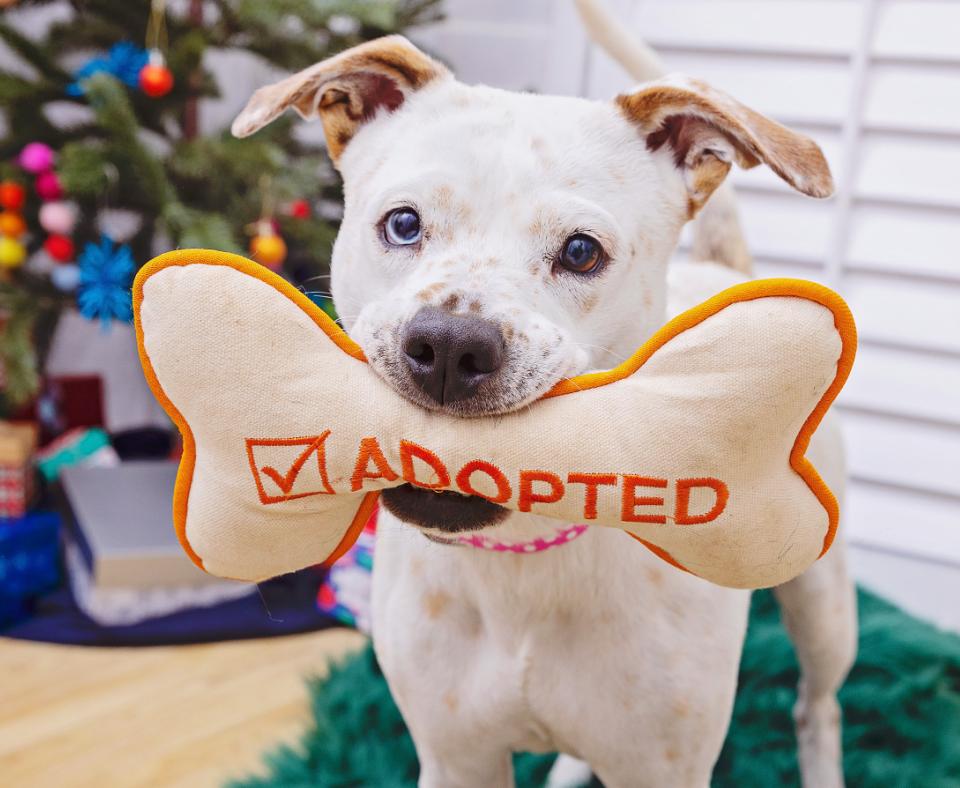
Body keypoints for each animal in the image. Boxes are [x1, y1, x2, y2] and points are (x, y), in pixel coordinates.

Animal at [236, 4, 860, 780]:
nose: (449, 347)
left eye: (581, 251)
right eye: (403, 223)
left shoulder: (665, 768)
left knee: (819, 705)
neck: (525, 558)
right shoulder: (456, 759)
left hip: (822, 599)